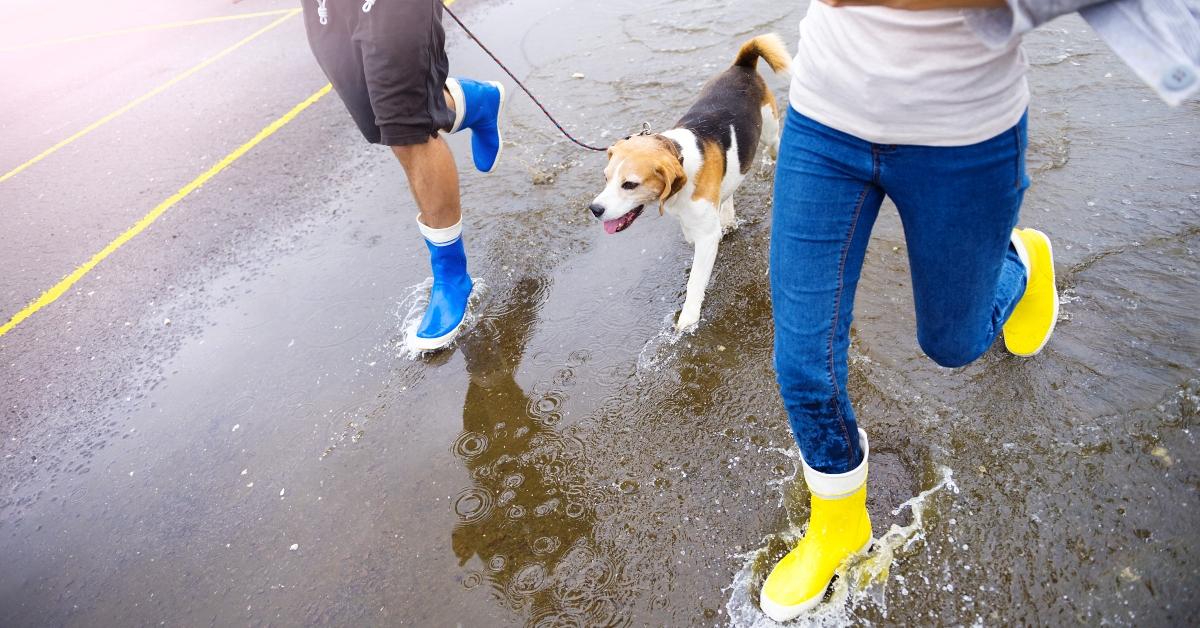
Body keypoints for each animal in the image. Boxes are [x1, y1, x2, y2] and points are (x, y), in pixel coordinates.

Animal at [588, 34, 792, 331]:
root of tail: (743, 65)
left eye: (630, 184)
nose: (595, 209)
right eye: (606, 178)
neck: (680, 156)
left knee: (774, 148)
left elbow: (696, 281)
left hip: (770, 135)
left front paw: (687, 320)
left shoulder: (707, 238)